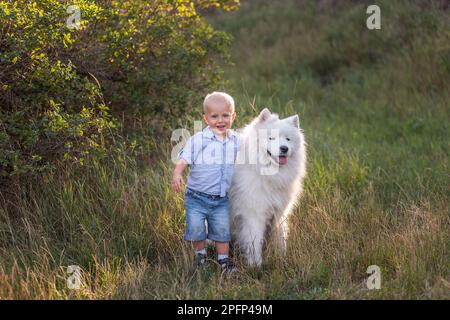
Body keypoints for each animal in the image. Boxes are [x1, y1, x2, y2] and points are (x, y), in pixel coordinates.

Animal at [230, 109, 308, 266]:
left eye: (288, 139)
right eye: (271, 138)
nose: (284, 148)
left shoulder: (279, 213)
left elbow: (280, 237)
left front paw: (281, 258)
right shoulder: (254, 214)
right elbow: (254, 242)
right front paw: (255, 265)